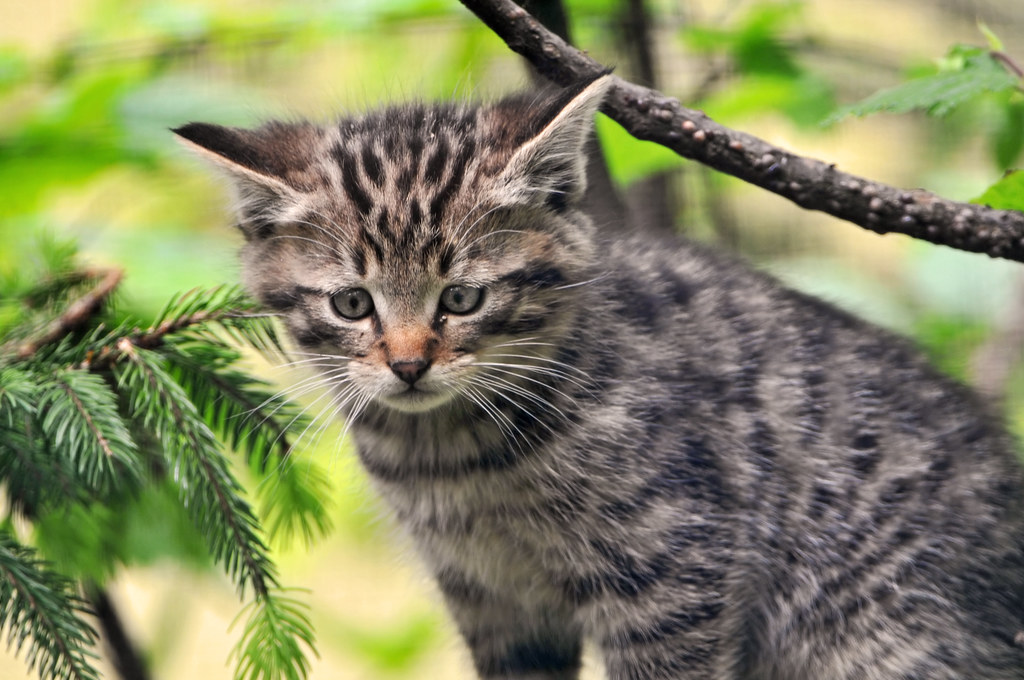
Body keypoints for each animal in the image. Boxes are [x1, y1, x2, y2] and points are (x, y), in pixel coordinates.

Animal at [174, 75, 1024, 680]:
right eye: (353, 303)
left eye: (462, 298)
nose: (410, 364)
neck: (453, 457)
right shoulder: (492, 601)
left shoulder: (676, 567)